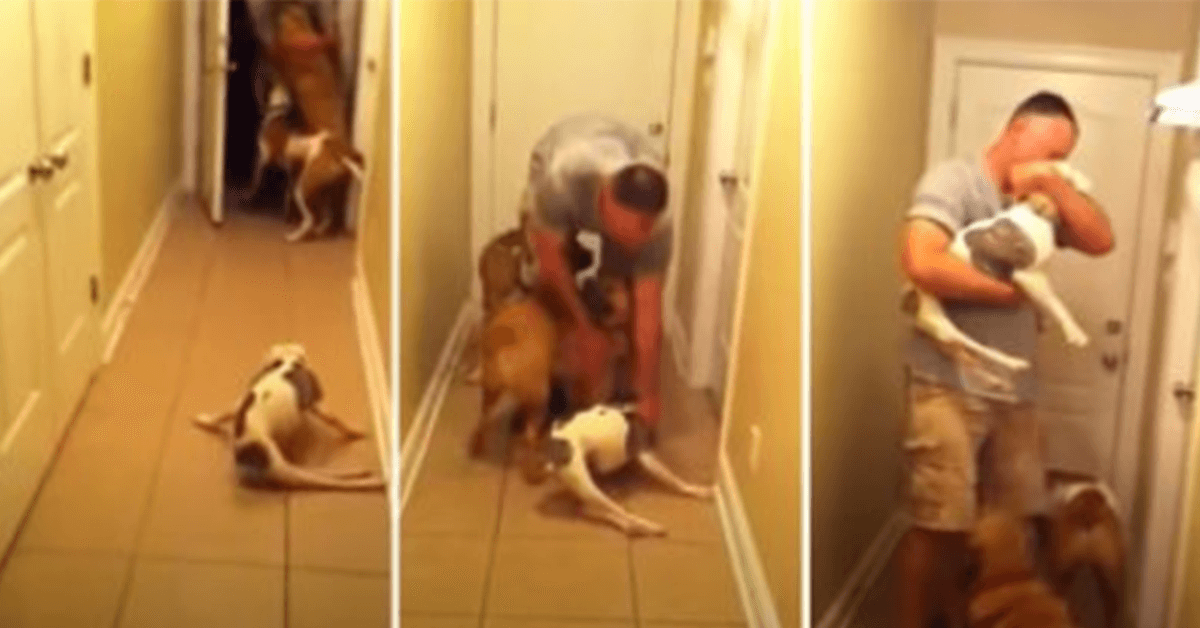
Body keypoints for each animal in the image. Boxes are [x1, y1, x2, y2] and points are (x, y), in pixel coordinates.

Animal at [193, 343, 384, 492]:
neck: (285, 363)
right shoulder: (317, 404)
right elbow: (336, 420)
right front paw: (353, 431)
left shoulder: (239, 402)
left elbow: (223, 413)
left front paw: (205, 420)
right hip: (291, 469)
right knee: (320, 476)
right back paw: (373, 480)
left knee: (314, 472)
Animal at [528, 405, 710, 537]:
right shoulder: (646, 455)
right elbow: (676, 481)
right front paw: (699, 490)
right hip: (587, 485)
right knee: (620, 512)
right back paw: (649, 527)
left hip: (586, 485)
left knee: (590, 509)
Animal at [902, 163, 1099, 379]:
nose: (1089, 186)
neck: (1034, 209)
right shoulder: (1030, 276)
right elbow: (1057, 304)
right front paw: (1075, 332)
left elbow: (1048, 301)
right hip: (937, 317)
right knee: (964, 340)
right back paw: (1013, 363)